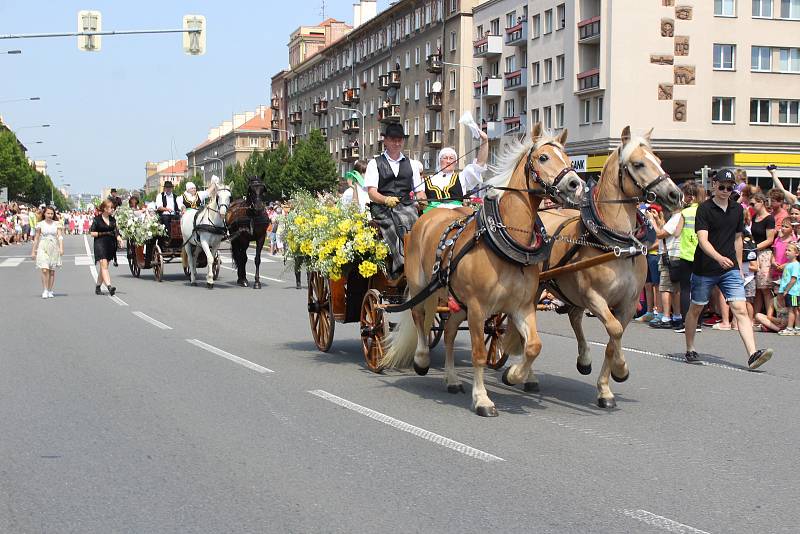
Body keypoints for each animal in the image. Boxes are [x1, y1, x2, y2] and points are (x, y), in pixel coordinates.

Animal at [382, 125, 588, 418]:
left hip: (458, 302)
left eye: (569, 158)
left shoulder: (521, 307)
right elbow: (478, 353)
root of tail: (425, 218)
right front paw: (482, 399)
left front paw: (514, 375)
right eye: (544, 157)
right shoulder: (479, 308)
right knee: (419, 316)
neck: (504, 239)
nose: (576, 185)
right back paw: (421, 359)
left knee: (449, 332)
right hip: (421, 286)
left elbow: (534, 346)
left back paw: (452, 379)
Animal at [520, 126, 680, 410]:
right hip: (539, 287)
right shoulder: (595, 297)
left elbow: (614, 338)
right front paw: (621, 369)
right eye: (638, 164)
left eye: (659, 160)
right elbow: (614, 331)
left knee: (574, 316)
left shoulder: (628, 303)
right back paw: (527, 375)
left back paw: (583, 359)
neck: (617, 244)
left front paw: (606, 387)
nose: (675, 195)